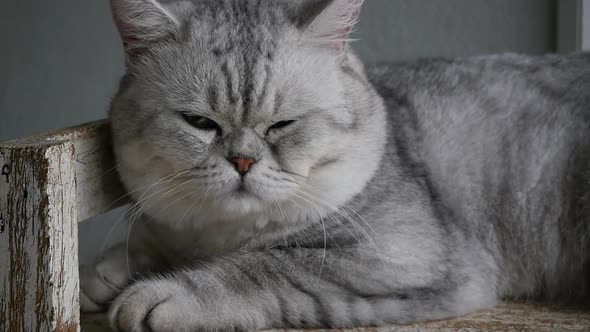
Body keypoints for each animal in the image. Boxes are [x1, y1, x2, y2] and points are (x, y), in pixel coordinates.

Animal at [81, 0, 590, 330]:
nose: (243, 160)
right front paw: (107, 270)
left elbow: (261, 266)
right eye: (200, 123)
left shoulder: (392, 256)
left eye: (282, 124)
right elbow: (150, 239)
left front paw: (160, 292)